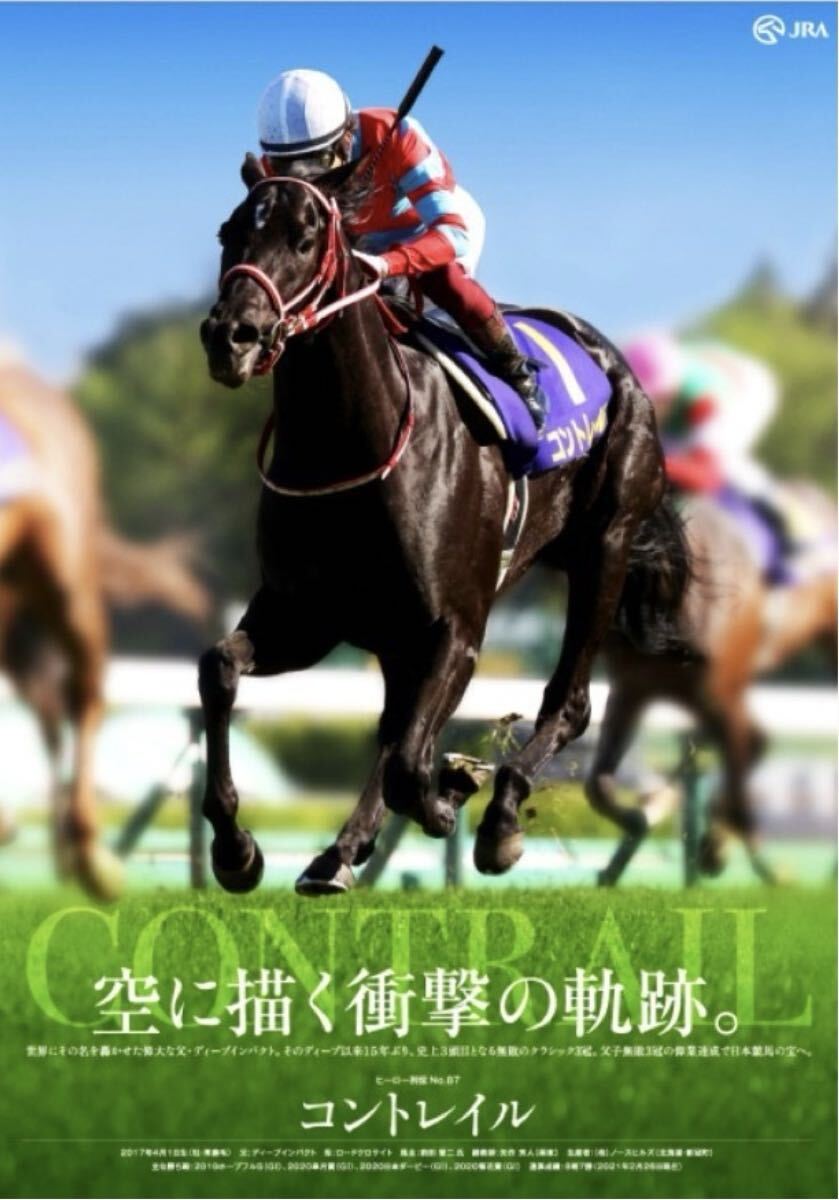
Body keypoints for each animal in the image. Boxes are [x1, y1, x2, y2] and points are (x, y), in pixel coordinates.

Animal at [198, 154, 693, 896]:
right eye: (230, 232)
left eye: (304, 237)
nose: (231, 336)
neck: (354, 447)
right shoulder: (305, 615)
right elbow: (220, 668)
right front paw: (236, 849)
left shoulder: (455, 628)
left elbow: (411, 764)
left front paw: (454, 793)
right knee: (394, 727)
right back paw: (338, 854)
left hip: (605, 546)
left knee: (567, 702)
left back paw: (498, 819)